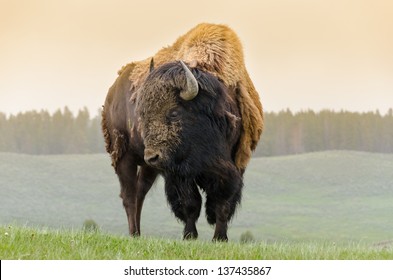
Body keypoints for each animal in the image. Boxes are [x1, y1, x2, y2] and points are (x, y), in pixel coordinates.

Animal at [101, 23, 262, 241]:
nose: (152, 156)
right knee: (129, 196)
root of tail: (112, 92)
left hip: (148, 167)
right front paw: (190, 235)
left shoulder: (234, 166)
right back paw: (134, 234)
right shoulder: (178, 172)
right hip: (124, 156)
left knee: (140, 192)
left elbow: (223, 203)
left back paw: (139, 234)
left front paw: (220, 238)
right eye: (142, 114)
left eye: (174, 112)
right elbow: (190, 203)